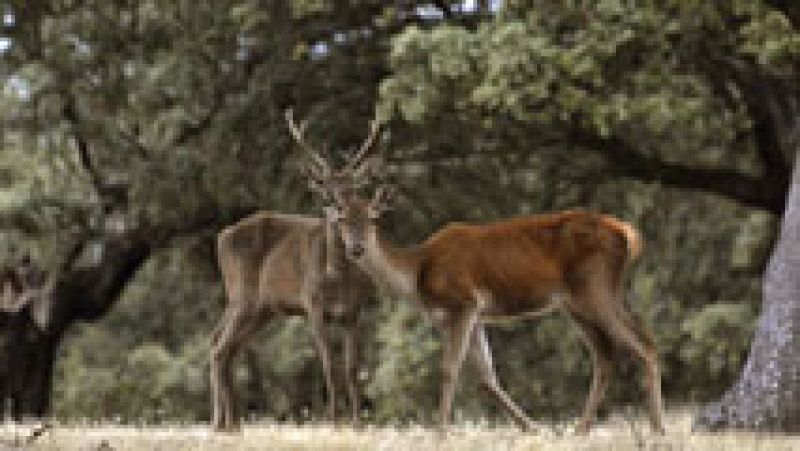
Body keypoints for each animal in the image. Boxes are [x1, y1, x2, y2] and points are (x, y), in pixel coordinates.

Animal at [209, 109, 378, 430]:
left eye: (353, 190)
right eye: (327, 192)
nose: (339, 210)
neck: (337, 278)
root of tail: (222, 235)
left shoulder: (354, 311)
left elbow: (352, 368)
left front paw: (357, 424)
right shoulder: (313, 304)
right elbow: (329, 365)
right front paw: (333, 422)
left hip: (260, 309)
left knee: (221, 344)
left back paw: (224, 424)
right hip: (242, 295)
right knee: (221, 348)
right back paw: (230, 424)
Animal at [322, 185, 664, 436]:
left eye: (372, 219)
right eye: (341, 220)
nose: (356, 249)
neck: (418, 273)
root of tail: (626, 233)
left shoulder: (463, 303)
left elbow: (449, 369)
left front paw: (441, 432)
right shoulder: (475, 316)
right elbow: (487, 378)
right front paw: (533, 428)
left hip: (595, 288)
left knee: (644, 343)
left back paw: (657, 428)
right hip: (575, 304)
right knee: (605, 355)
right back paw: (581, 429)